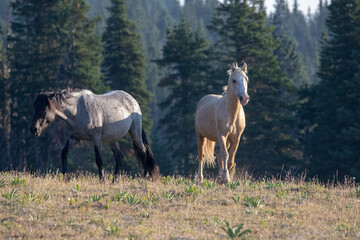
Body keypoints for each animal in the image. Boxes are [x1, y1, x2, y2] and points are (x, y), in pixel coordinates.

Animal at [30, 89, 160, 181]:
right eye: (35, 108)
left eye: (44, 110)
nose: (33, 129)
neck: (77, 111)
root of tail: (133, 100)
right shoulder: (74, 138)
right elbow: (64, 153)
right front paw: (64, 178)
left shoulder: (96, 138)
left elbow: (99, 160)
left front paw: (101, 180)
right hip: (112, 139)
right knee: (119, 157)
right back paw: (114, 181)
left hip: (135, 133)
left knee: (142, 151)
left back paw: (145, 176)